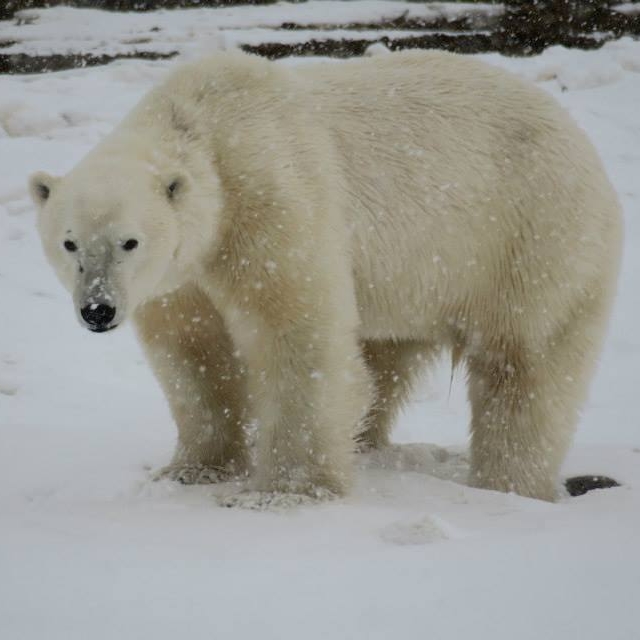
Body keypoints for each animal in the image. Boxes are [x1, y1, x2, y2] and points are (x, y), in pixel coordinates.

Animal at [29, 50, 622, 504]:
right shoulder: (180, 278)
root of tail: (581, 139)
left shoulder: (271, 205)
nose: (98, 310)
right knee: (386, 354)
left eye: (129, 241)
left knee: (524, 363)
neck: (208, 126)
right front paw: (192, 469)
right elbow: (193, 352)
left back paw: (509, 483)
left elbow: (297, 336)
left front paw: (282, 491)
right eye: (69, 242)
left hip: (530, 236)